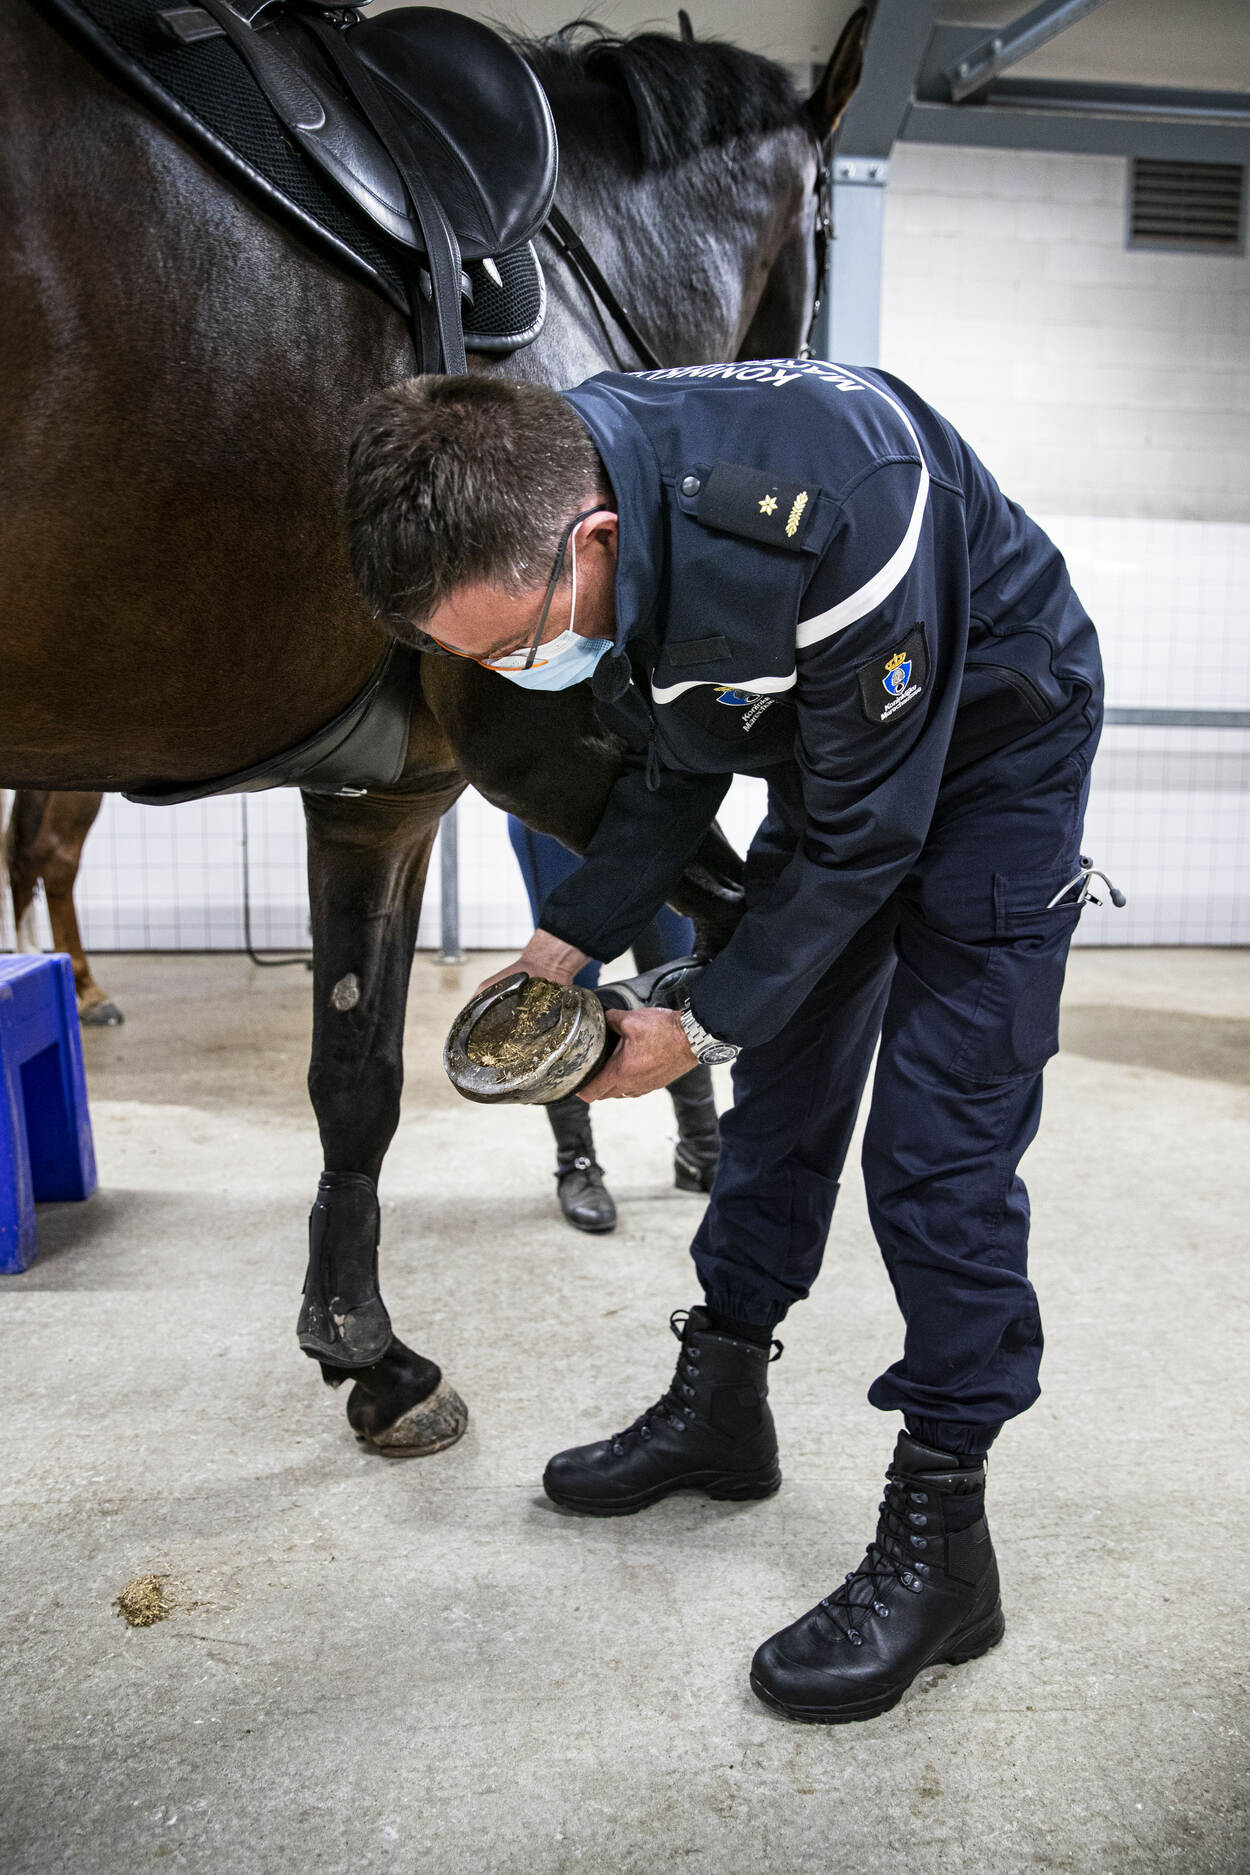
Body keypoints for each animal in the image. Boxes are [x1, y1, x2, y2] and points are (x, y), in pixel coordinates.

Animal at [0, 2, 866, 1454]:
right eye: (832, 227)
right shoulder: (548, 754)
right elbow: (753, 931)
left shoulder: (377, 798)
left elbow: (353, 1071)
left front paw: (366, 1352)